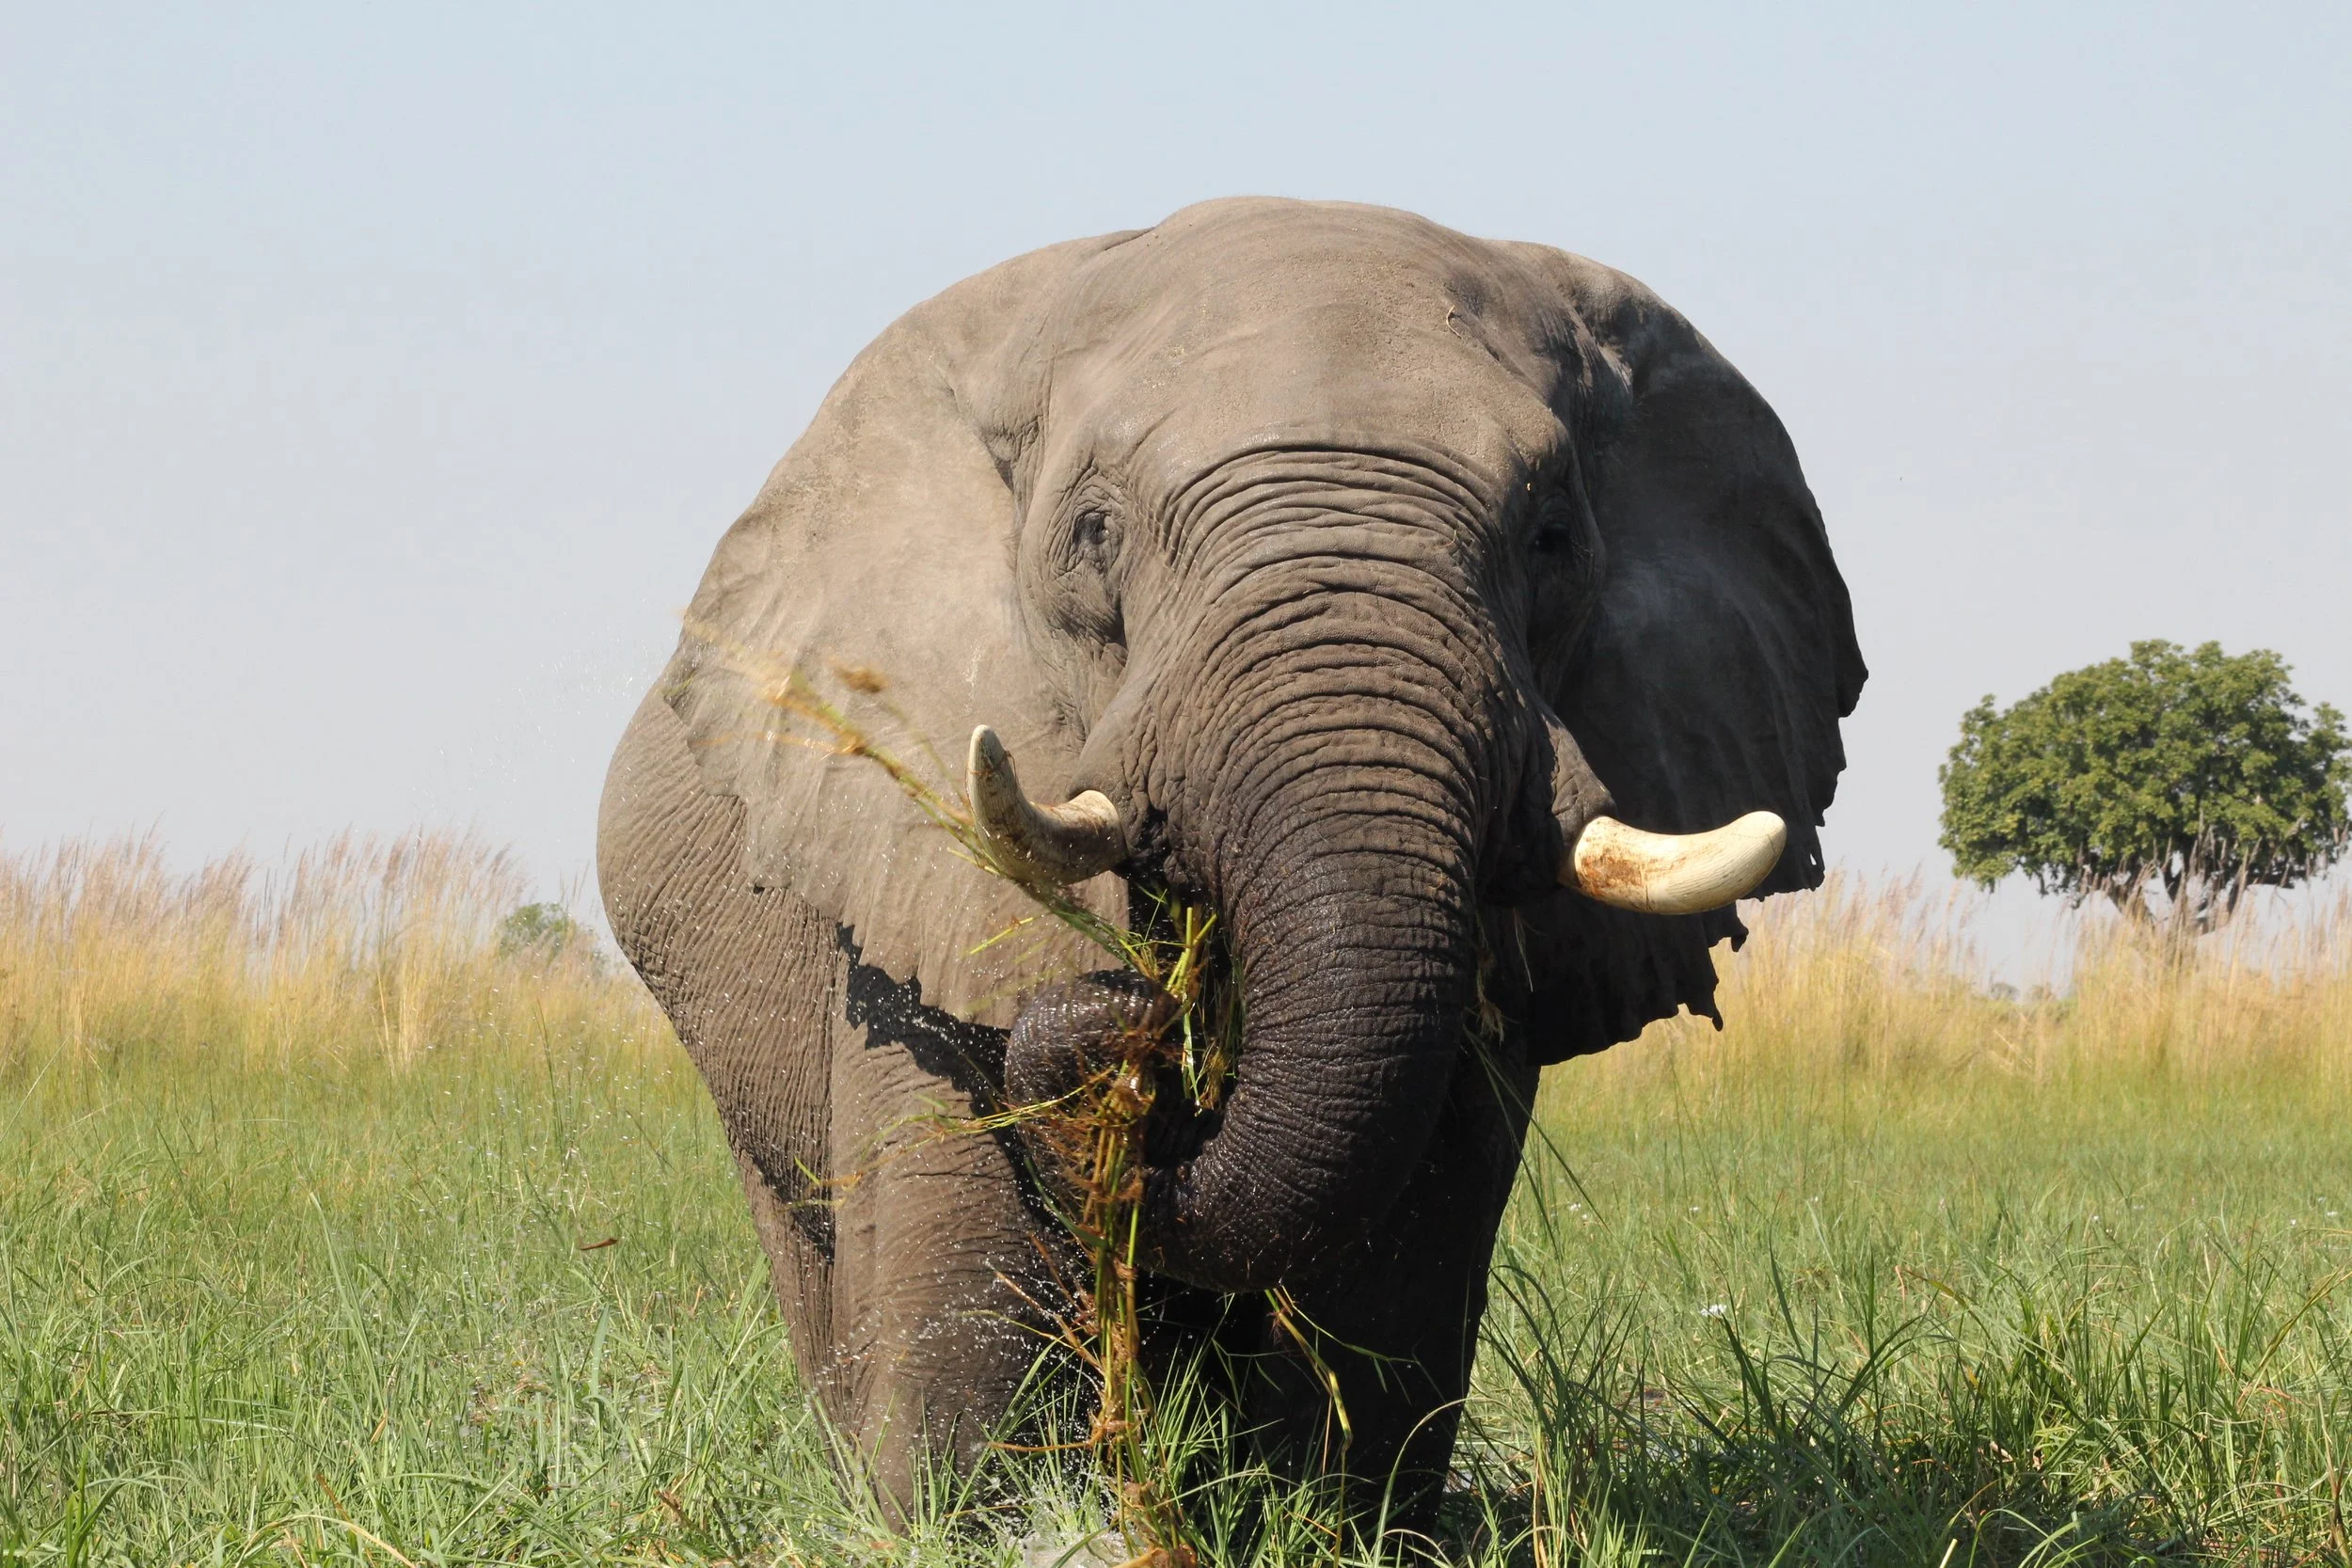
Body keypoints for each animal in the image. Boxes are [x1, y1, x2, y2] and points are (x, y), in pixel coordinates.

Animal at [597, 197, 1864, 1531]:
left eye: (1554, 537)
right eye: (1094, 534)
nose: (1132, 1023)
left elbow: (1402, 1223)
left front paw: (1332, 1524)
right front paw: (973, 1522)